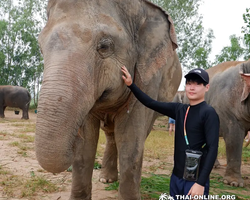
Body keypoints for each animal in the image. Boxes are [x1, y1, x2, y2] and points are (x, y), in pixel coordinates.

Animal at [35, 0, 182, 200]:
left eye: (104, 46)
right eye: (41, 47)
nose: (74, 137)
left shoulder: (149, 78)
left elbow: (130, 141)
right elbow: (86, 145)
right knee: (111, 135)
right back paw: (106, 179)